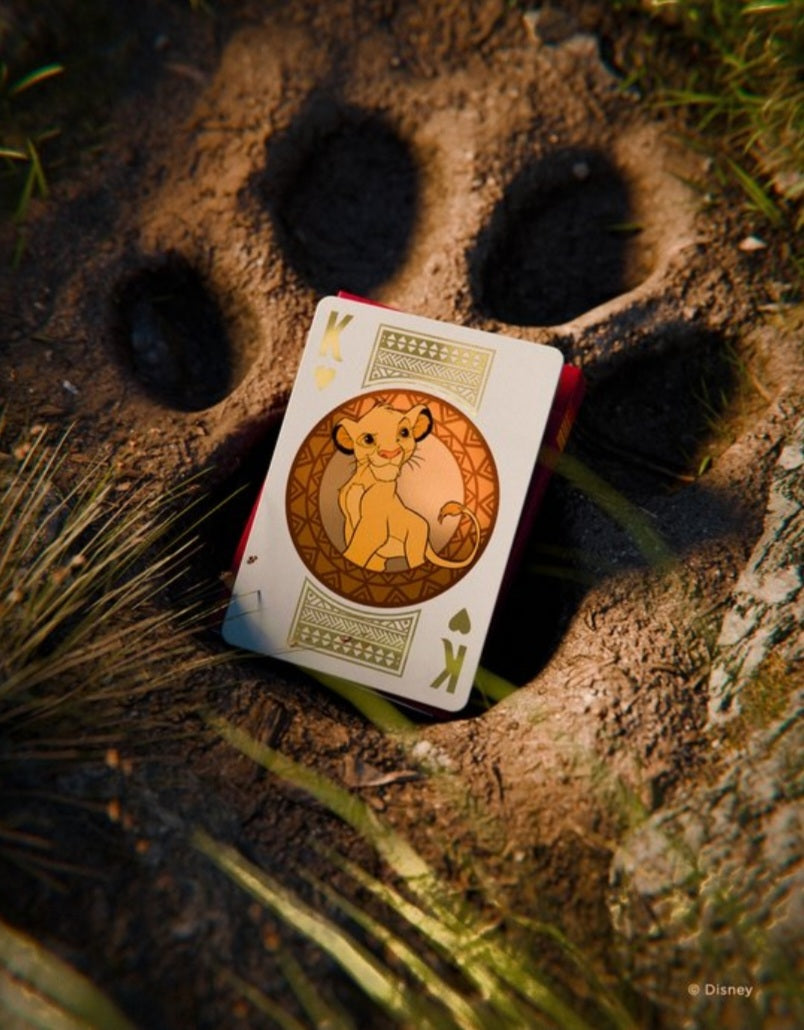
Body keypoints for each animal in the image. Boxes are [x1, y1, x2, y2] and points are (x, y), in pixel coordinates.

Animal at [331, 401, 481, 572]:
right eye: (368, 439)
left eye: (404, 432)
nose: (390, 453)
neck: (365, 480)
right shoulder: (350, 525)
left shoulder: (375, 524)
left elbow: (356, 551)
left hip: (414, 546)